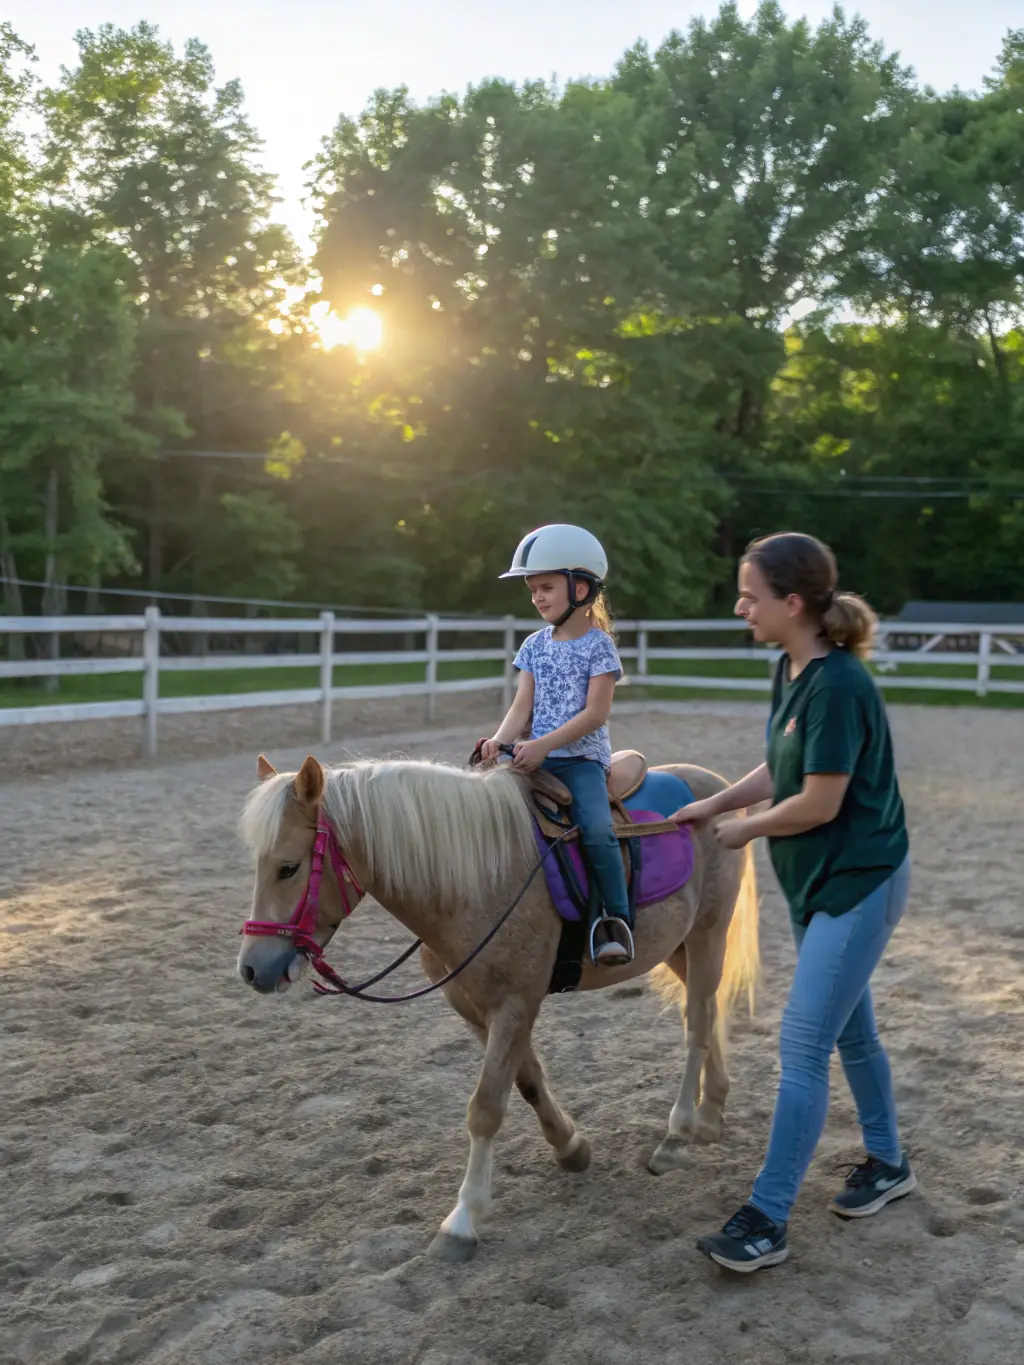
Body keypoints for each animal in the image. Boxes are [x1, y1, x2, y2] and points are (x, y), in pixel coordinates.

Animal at [236, 751, 760, 1262]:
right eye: (257, 865)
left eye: (288, 867)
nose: (252, 969)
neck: (475, 884)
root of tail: (715, 784)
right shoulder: (476, 1007)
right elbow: (527, 1081)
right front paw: (570, 1146)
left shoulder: (513, 1005)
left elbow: (485, 1106)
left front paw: (463, 1220)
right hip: (678, 947)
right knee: (710, 1011)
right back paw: (711, 1113)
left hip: (708, 933)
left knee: (698, 1024)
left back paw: (679, 1133)